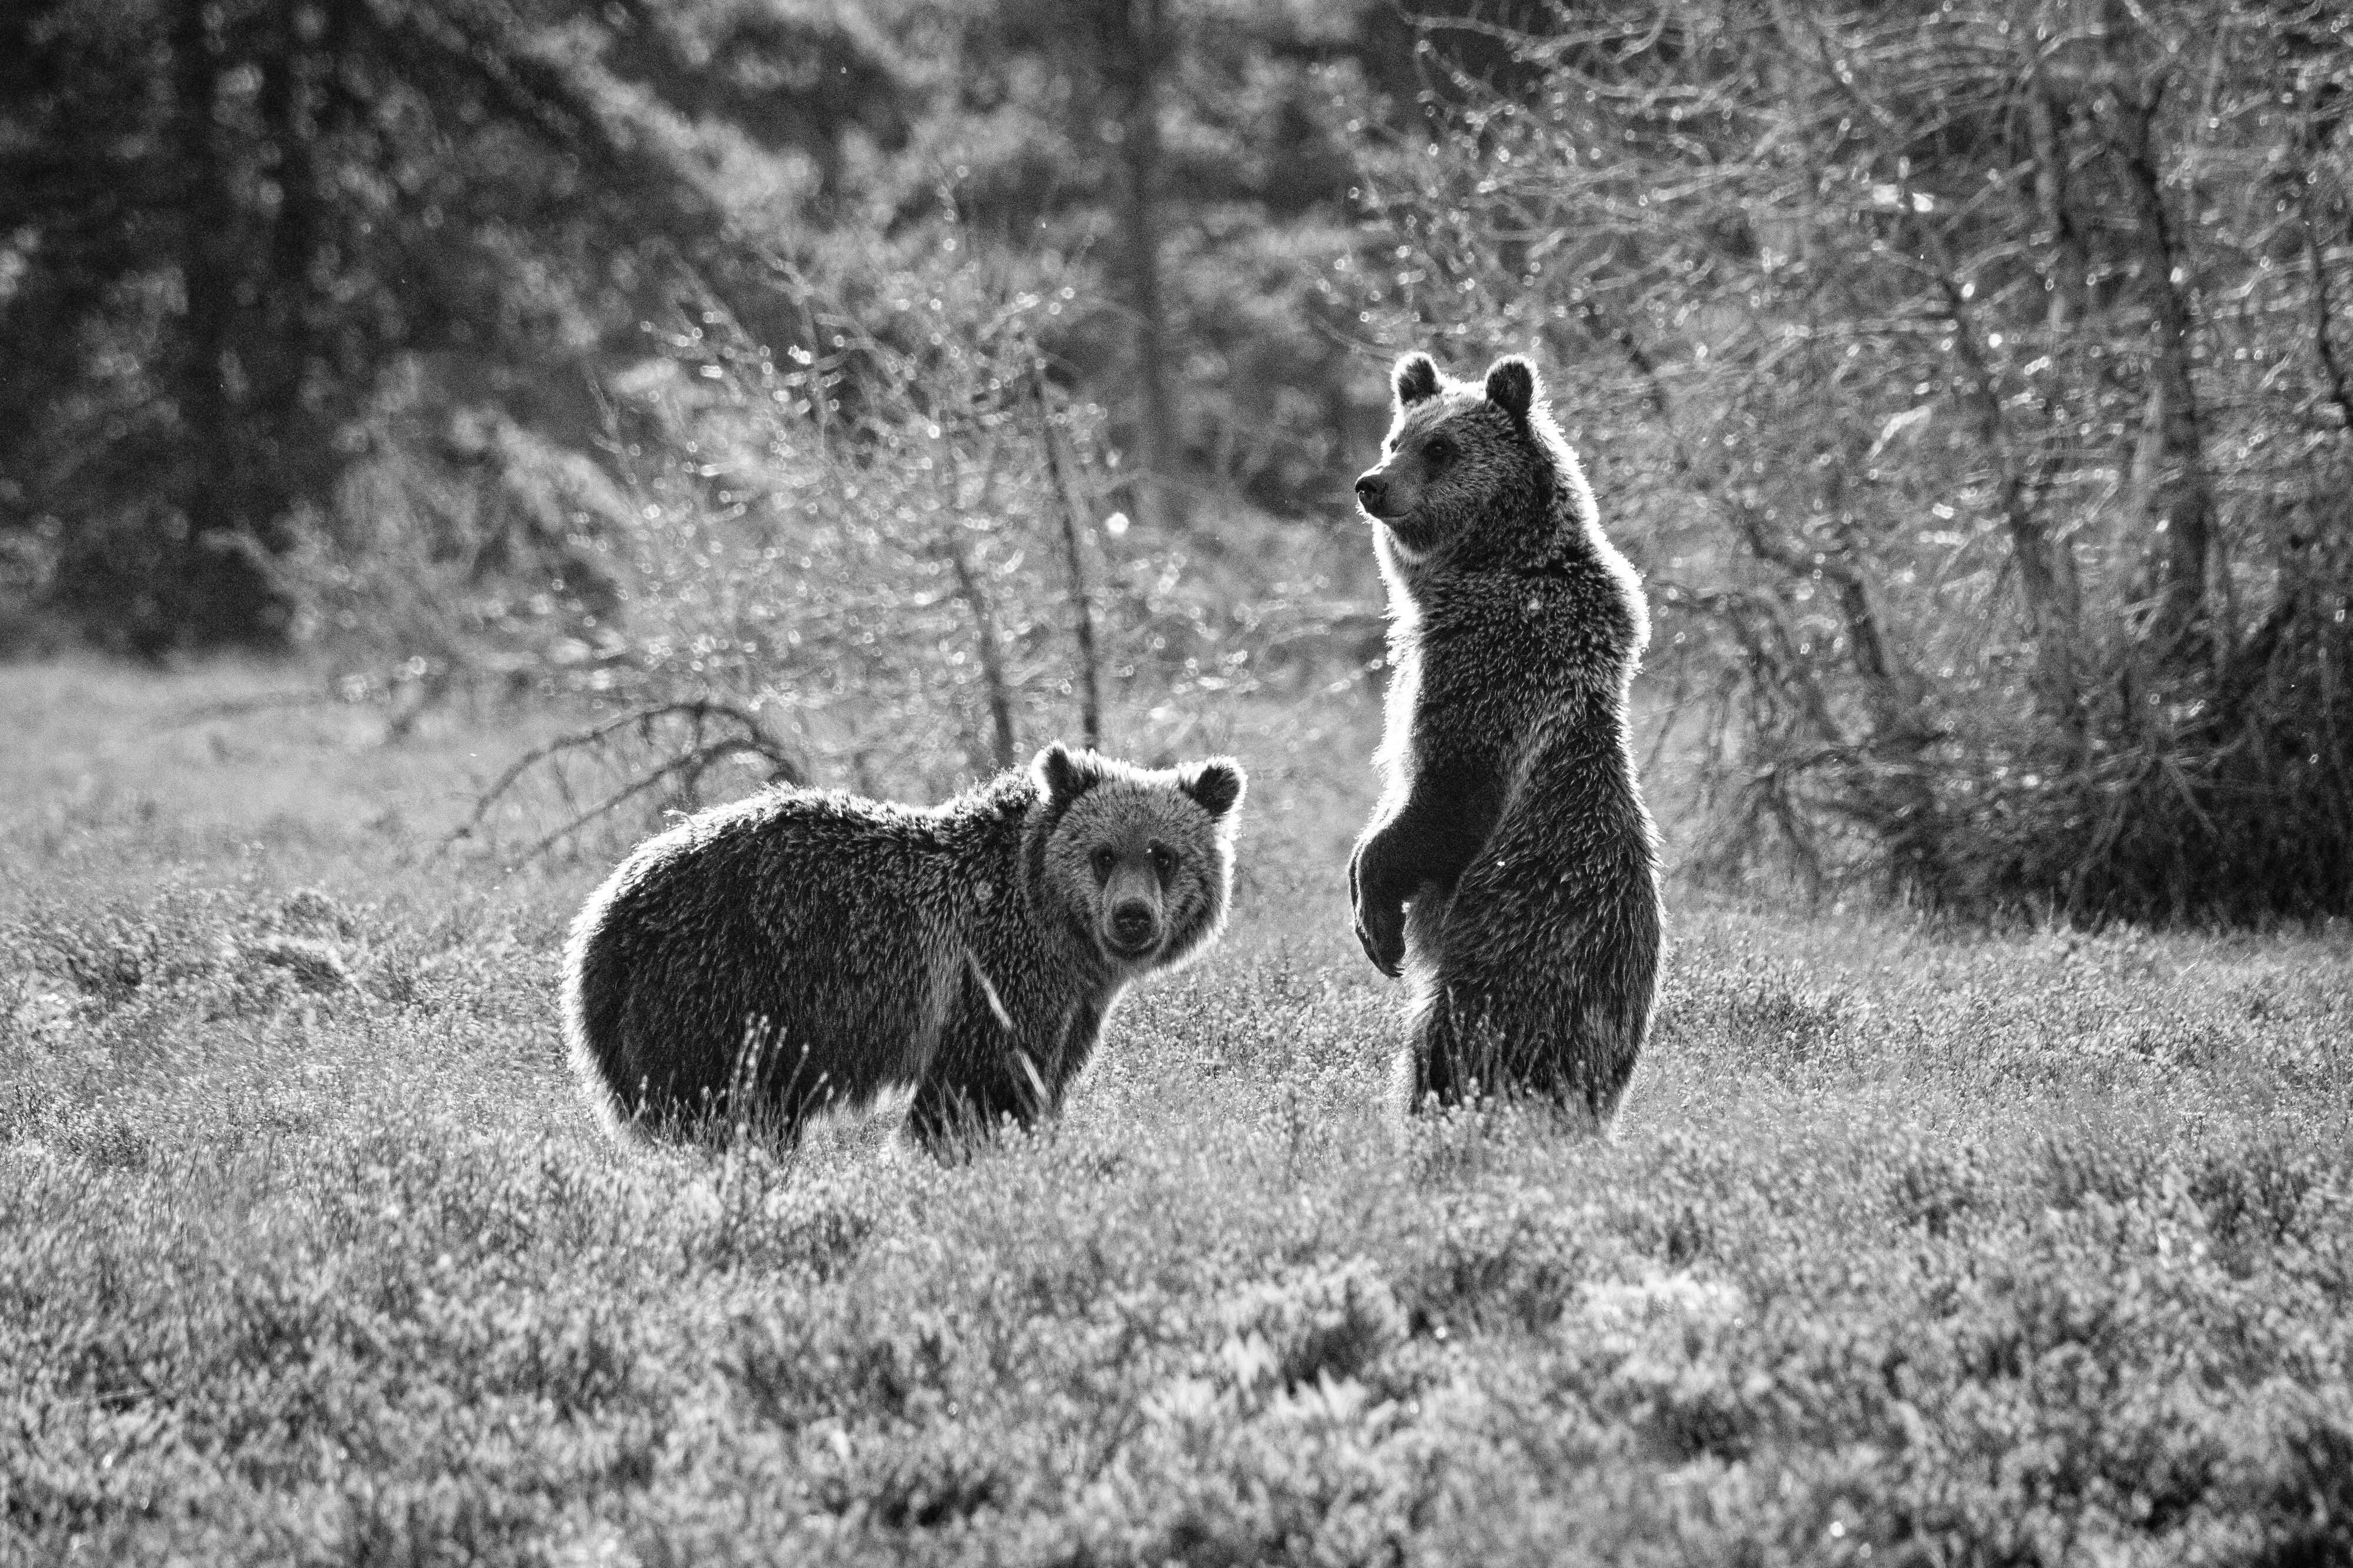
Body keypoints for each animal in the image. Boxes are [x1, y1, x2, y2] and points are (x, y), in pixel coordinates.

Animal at [561, 742, 1245, 1154]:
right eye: (1103, 855)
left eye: (1163, 855)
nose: (1132, 917)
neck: (1056, 928)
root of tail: (602, 916)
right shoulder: (991, 974)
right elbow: (979, 1089)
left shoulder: (1069, 1008)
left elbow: (1041, 1079)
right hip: (722, 988)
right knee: (723, 1109)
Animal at [1347, 349, 1661, 1127]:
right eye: (1395, 437)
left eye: (1440, 448)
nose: (1371, 484)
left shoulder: (1489, 669)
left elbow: (1444, 795)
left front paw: (1377, 912)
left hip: (1515, 957)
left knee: (1450, 1051)